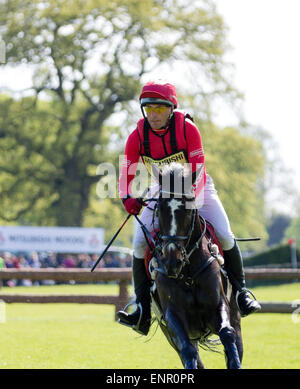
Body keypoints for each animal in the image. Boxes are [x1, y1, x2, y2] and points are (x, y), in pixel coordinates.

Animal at [144, 162, 244, 368]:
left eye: (189, 210)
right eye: (159, 209)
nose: (172, 262)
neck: (188, 274)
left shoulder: (219, 306)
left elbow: (227, 335)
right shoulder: (174, 316)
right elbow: (187, 351)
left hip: (235, 314)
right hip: (171, 334)